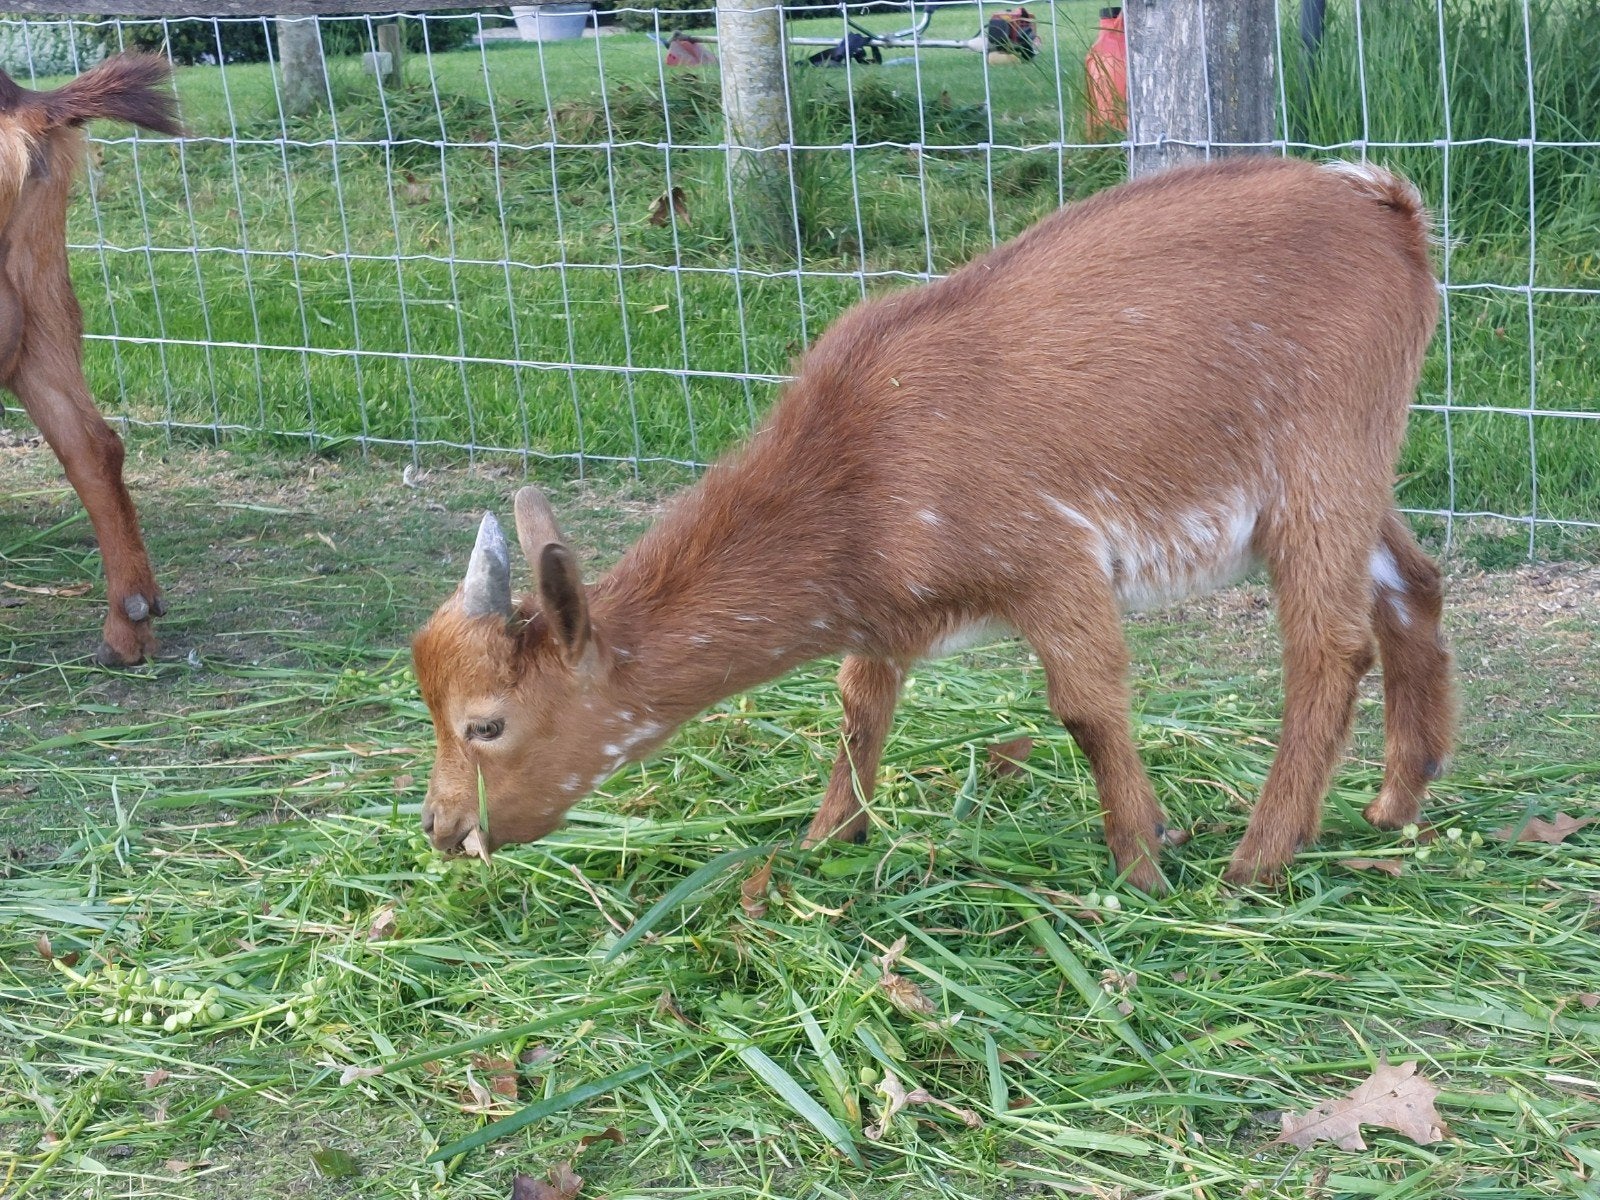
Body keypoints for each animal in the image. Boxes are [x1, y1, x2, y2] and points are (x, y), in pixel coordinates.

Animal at [412, 157, 1454, 890]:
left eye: (486, 724)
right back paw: (1394, 804)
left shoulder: (1049, 558)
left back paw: (1259, 861)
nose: (444, 830)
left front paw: (1143, 865)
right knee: (1415, 580)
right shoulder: (888, 614)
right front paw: (826, 837)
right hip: (1362, 461)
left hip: (1320, 454)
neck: (858, 477)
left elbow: (1087, 707)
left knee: (1328, 644)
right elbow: (857, 704)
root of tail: (1391, 207)